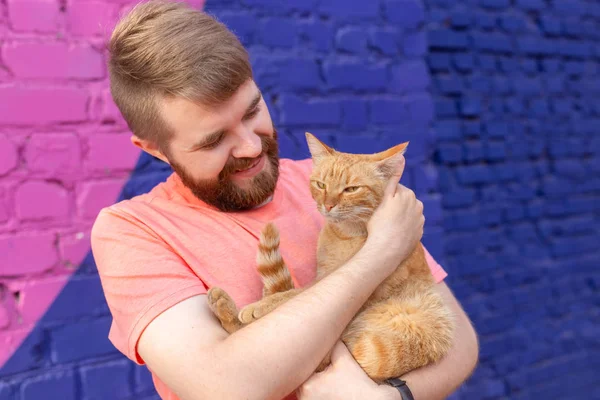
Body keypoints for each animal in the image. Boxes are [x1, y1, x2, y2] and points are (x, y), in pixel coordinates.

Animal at [207, 134, 454, 382]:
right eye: (321, 185)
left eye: (351, 189)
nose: (328, 205)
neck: (344, 235)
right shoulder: (324, 274)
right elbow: (296, 291)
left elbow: (295, 294)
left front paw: (262, 305)